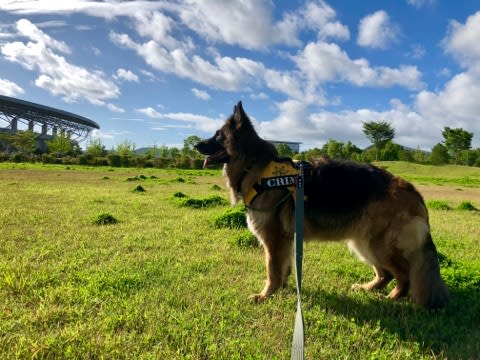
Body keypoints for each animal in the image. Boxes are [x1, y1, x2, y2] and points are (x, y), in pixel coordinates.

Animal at [195, 101, 450, 310]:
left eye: (218, 135)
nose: (196, 144)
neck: (255, 165)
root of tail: (413, 191)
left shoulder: (273, 239)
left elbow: (272, 270)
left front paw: (266, 295)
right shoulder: (286, 241)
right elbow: (283, 269)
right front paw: (282, 289)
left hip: (377, 244)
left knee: (404, 275)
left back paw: (394, 298)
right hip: (362, 243)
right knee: (385, 274)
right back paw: (368, 289)